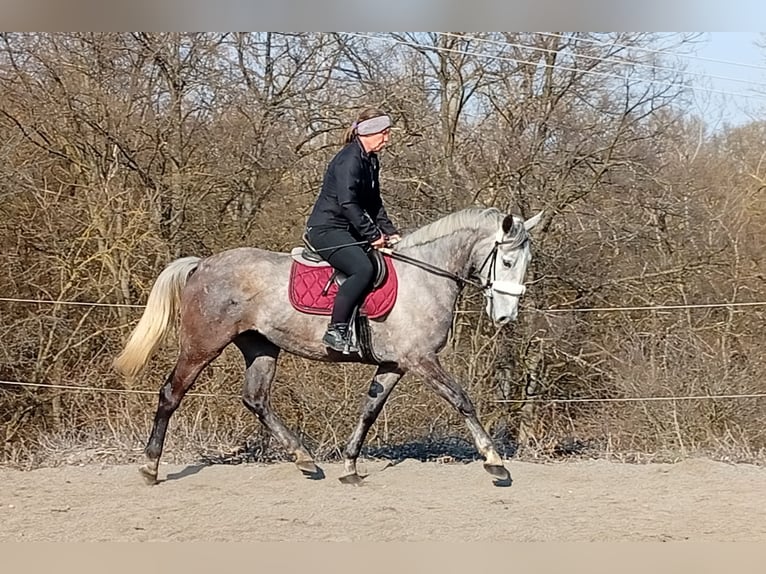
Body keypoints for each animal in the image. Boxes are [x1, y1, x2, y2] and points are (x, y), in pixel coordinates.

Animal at [113, 206, 543, 486]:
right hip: (203, 345)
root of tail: (202, 265)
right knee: (171, 393)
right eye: (507, 262)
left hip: (260, 347)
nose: (506, 318)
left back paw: (305, 460)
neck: (425, 276)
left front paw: (350, 466)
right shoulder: (421, 359)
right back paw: (150, 467)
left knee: (256, 399)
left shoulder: (396, 364)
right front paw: (495, 463)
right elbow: (461, 400)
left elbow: (369, 410)